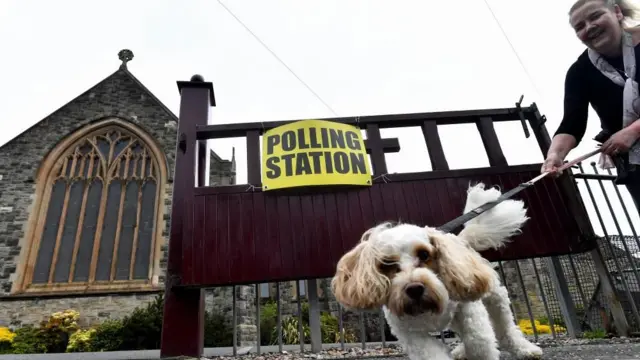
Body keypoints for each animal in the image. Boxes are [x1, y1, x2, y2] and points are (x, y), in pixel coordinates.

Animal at [330, 184, 544, 358]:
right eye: (387, 264)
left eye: (424, 254)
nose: (415, 288)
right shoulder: (411, 335)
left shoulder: (468, 311)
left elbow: (479, 342)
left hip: (495, 298)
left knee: (504, 327)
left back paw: (524, 349)